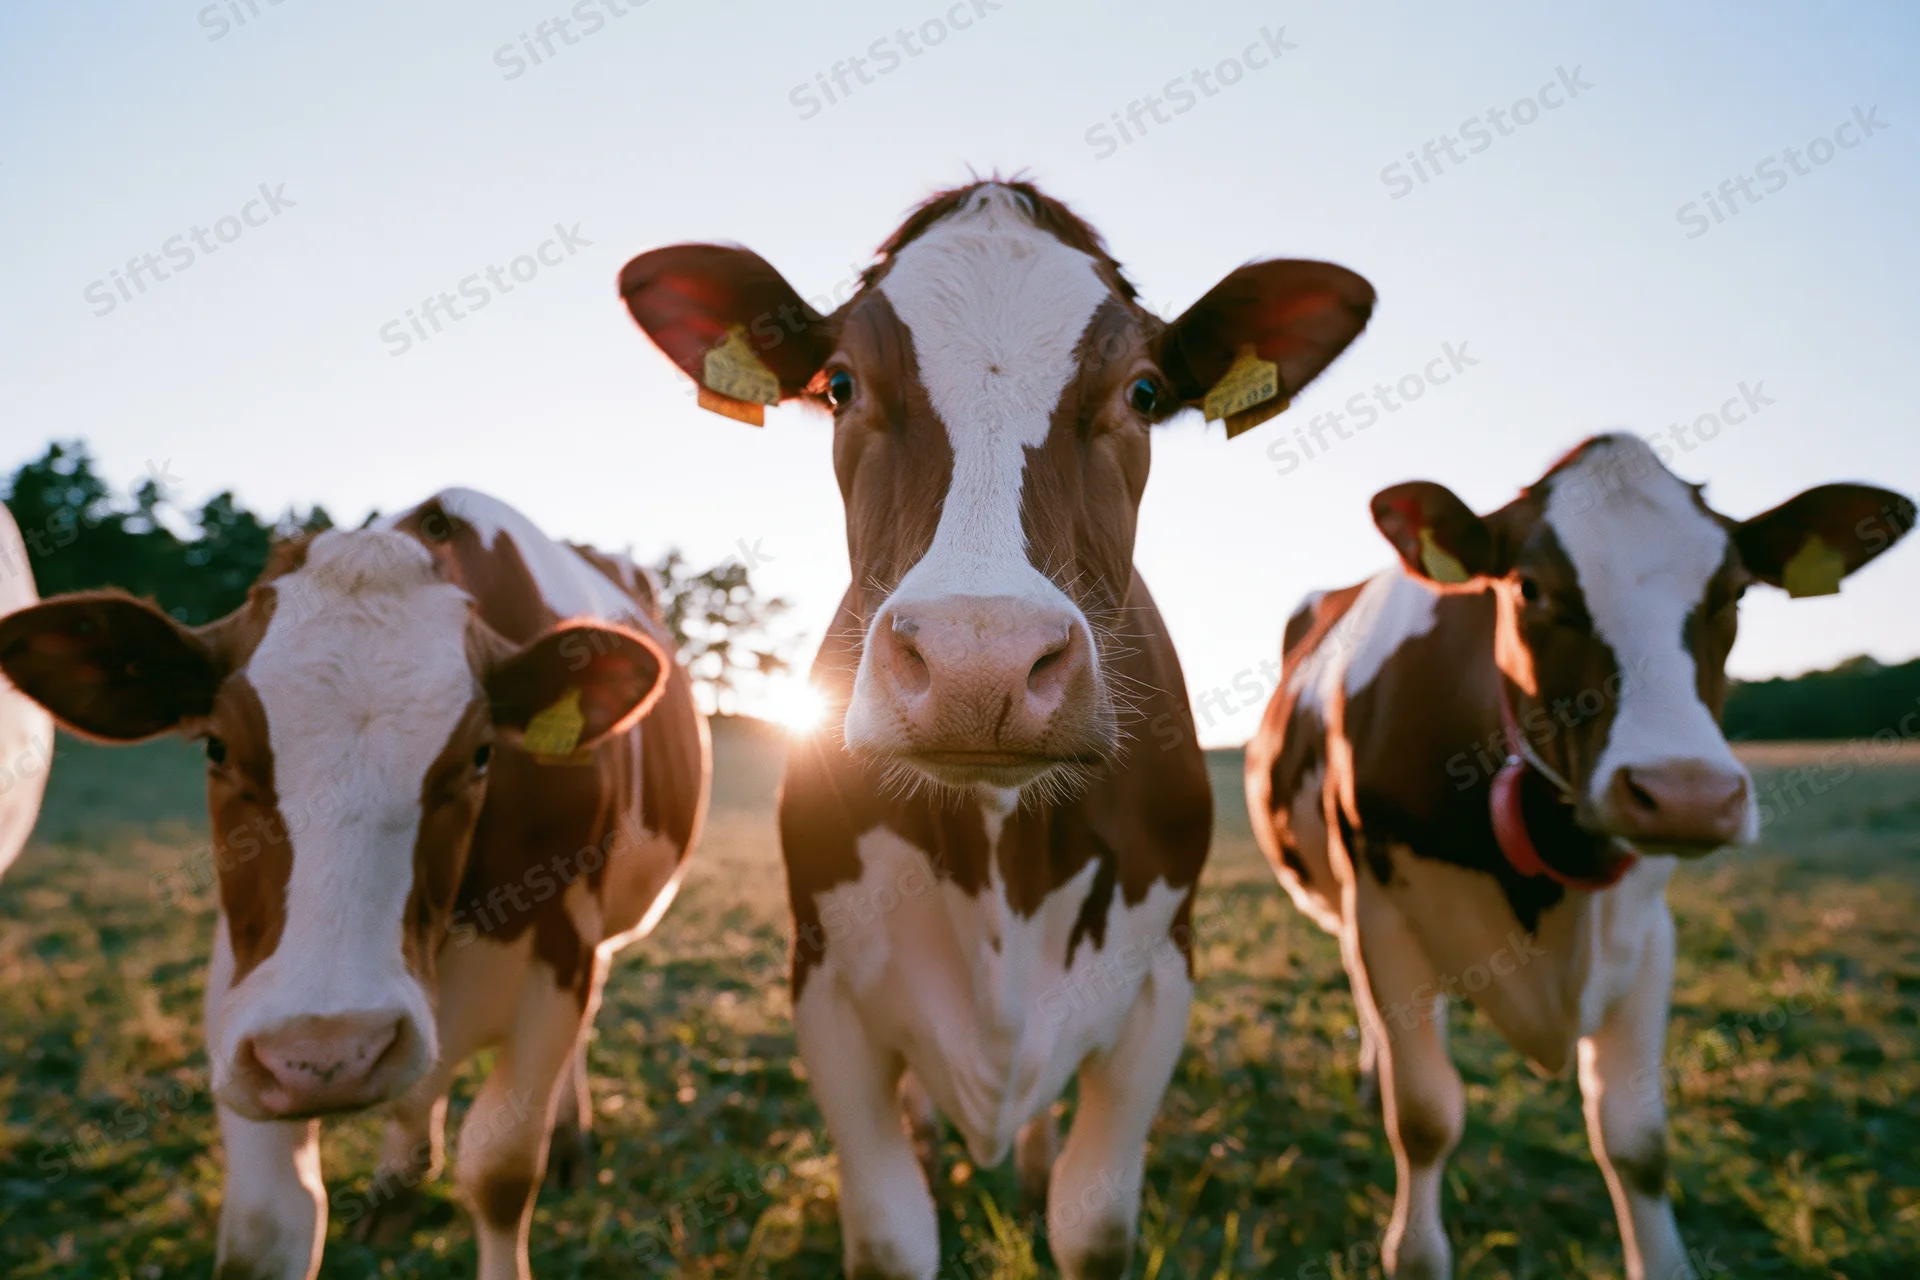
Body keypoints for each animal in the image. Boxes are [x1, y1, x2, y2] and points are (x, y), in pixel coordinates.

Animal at [0, 488, 709, 1280]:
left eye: (481, 755)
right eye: (217, 747)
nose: (330, 1053)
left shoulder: (560, 956)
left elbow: (499, 1171)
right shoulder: (242, 987)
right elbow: (268, 1224)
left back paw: (566, 1140)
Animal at [618, 179, 1376, 1278]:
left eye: (1144, 393)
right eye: (841, 384)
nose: (981, 661)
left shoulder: (1162, 980)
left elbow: (1092, 1224)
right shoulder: (826, 988)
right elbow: (892, 1230)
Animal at [1245, 433, 1914, 1279]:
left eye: (1734, 592)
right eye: (1530, 588)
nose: (1687, 794)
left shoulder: (1649, 934)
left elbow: (1637, 1141)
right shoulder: (1382, 913)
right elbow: (1426, 1116)